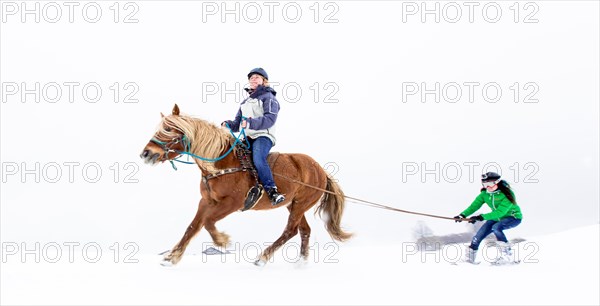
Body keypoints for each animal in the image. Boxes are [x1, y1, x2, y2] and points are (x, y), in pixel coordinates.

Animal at [141, 104, 352, 266]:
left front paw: (222, 240)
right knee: (304, 231)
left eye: (169, 130)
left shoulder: (232, 203)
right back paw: (301, 263)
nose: (146, 153)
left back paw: (263, 258)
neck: (221, 163)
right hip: (293, 204)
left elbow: (209, 222)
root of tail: (321, 171)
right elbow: (193, 227)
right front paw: (172, 257)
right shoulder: (206, 201)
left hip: (300, 204)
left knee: (290, 231)